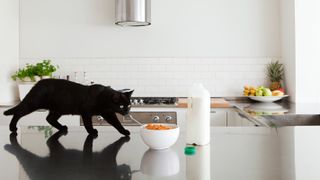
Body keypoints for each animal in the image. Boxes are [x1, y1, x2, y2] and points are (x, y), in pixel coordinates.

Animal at [2, 79, 132, 135]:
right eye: (121, 105)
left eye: (129, 105)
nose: (126, 111)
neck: (102, 97)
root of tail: (38, 83)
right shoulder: (86, 113)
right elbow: (88, 124)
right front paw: (92, 132)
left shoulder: (108, 113)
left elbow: (117, 123)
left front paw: (124, 131)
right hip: (33, 104)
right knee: (18, 112)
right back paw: (12, 128)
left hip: (58, 109)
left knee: (49, 118)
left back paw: (62, 128)